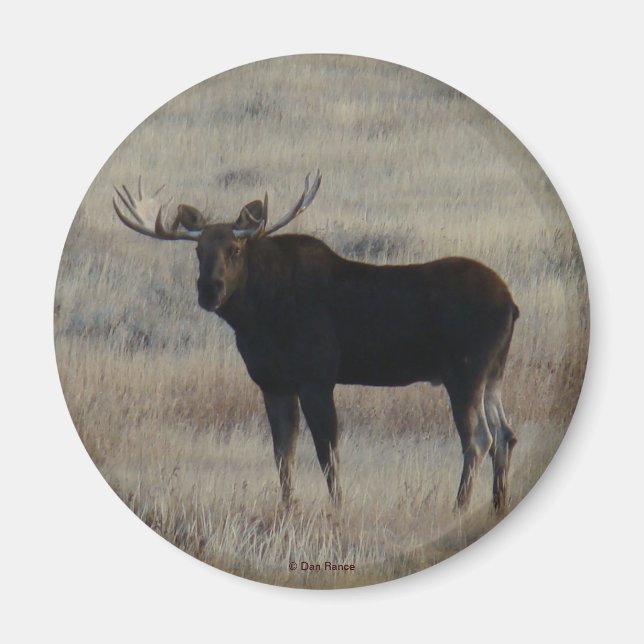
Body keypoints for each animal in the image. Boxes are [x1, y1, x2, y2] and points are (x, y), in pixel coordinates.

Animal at [113, 172, 519, 512]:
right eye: (198, 251)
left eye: (235, 250)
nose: (209, 290)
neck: (256, 317)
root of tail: (512, 305)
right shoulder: (273, 383)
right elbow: (283, 454)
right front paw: (287, 508)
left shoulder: (316, 378)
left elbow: (327, 453)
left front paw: (337, 508)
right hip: (493, 372)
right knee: (505, 434)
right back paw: (496, 503)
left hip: (464, 372)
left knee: (478, 438)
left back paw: (459, 507)